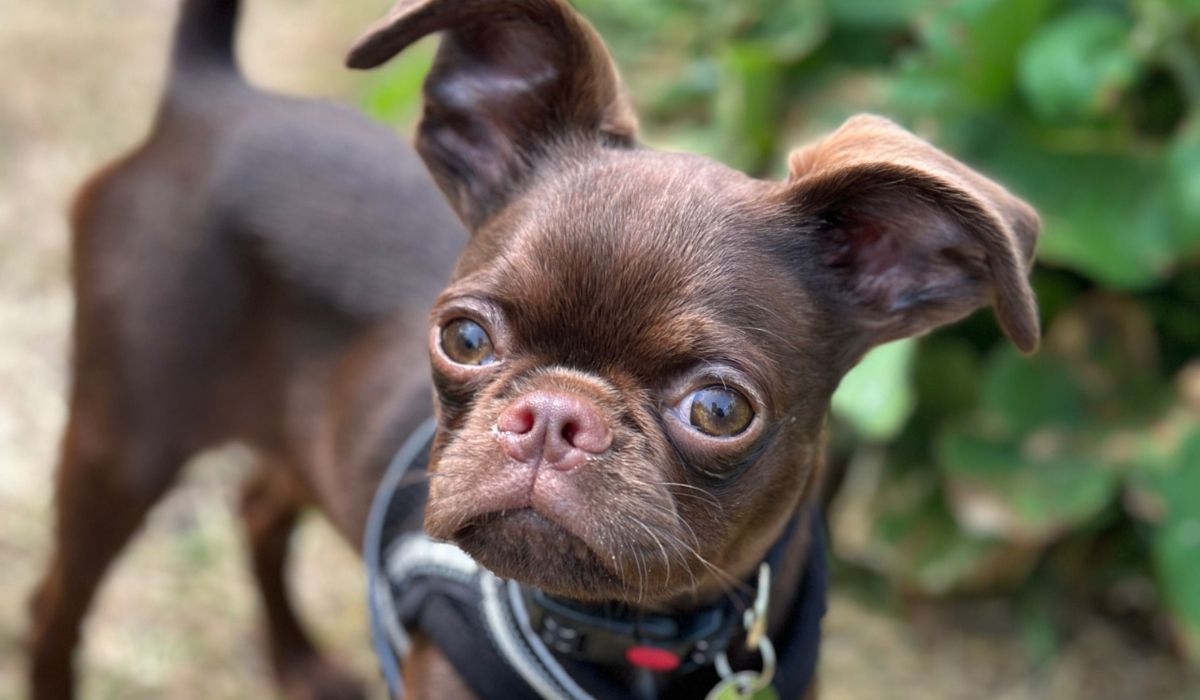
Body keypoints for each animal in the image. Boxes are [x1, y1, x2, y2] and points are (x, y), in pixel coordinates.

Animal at [28, 0, 1041, 696]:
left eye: (719, 410)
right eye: (464, 337)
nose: (554, 414)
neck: (632, 644)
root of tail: (210, 96)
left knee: (255, 508)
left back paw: (298, 662)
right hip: (122, 442)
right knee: (57, 604)